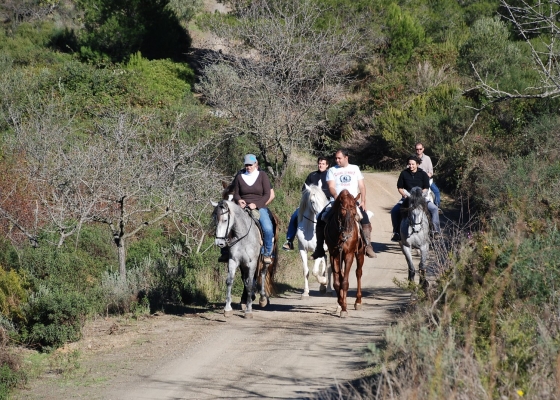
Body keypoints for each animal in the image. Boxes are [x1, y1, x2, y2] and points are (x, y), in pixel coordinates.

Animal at [322, 189, 366, 318]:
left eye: (354, 213)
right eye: (341, 214)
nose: (346, 235)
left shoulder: (349, 255)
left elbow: (345, 282)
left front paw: (344, 308)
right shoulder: (334, 255)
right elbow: (338, 283)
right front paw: (341, 303)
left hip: (359, 253)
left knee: (358, 273)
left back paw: (358, 302)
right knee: (341, 275)